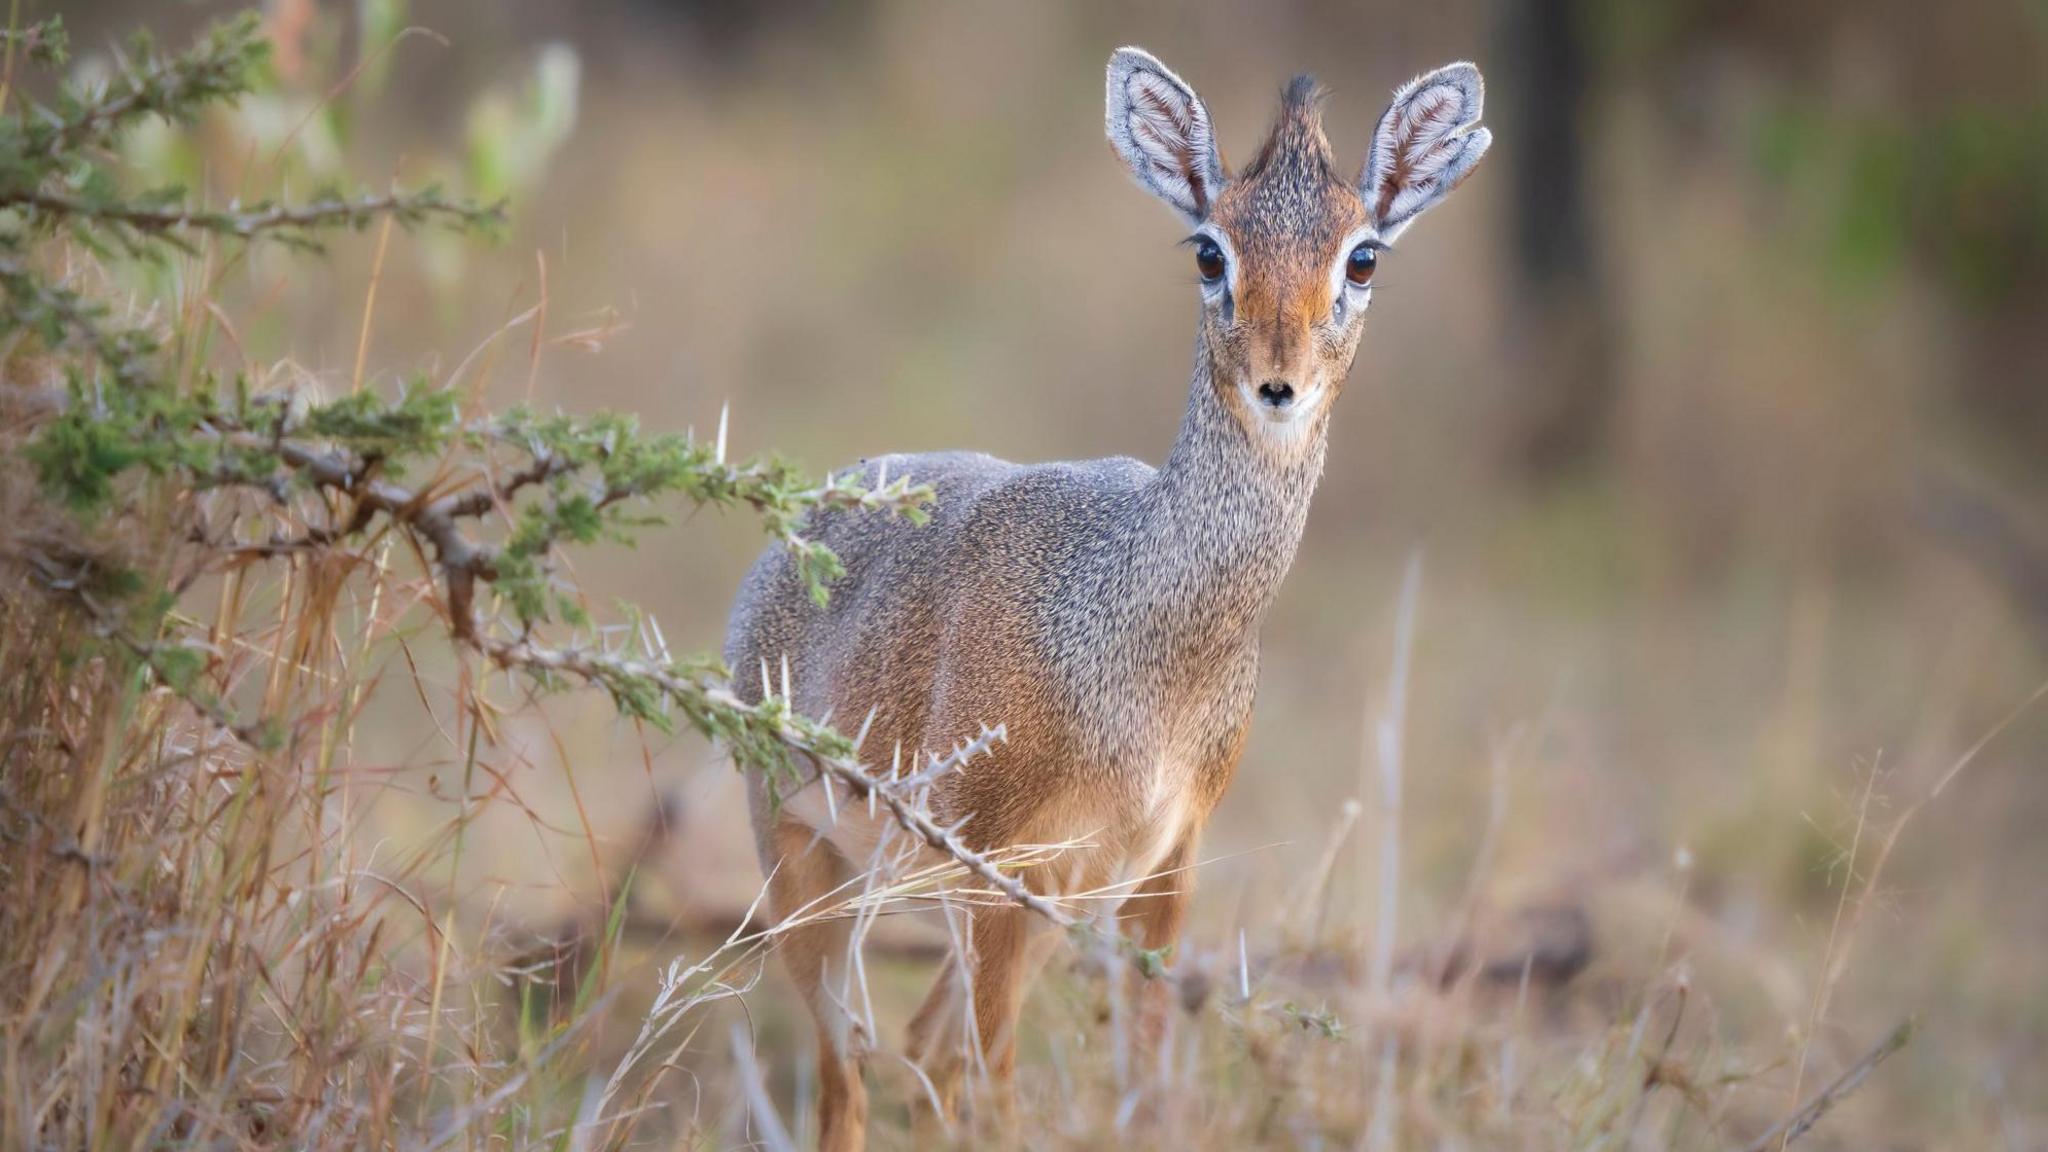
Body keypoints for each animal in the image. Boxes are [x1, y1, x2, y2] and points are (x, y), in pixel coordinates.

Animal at [729, 47, 1499, 1147]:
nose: (1278, 384)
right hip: (806, 864)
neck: (1138, 638)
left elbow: (1139, 1081)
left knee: (918, 1054)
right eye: (1209, 252)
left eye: (1362, 258)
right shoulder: (997, 868)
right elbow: (998, 1094)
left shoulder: (1162, 862)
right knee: (850, 1078)